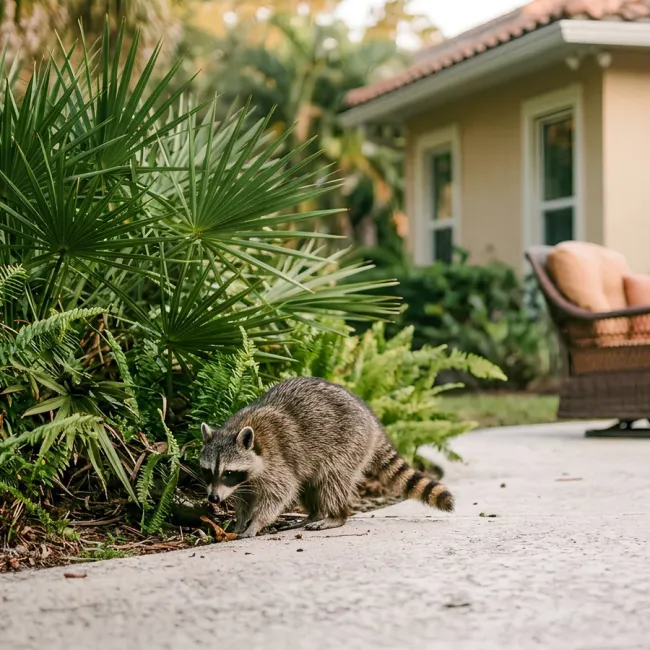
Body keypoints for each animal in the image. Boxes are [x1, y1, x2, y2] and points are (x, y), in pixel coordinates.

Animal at [199, 376, 454, 538]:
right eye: (208, 471)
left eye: (228, 472)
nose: (213, 498)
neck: (236, 430)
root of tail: (371, 419)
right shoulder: (245, 479)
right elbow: (244, 499)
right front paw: (240, 522)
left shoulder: (276, 461)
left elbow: (280, 492)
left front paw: (256, 523)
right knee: (309, 484)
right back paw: (311, 515)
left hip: (347, 444)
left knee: (332, 481)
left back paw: (335, 516)